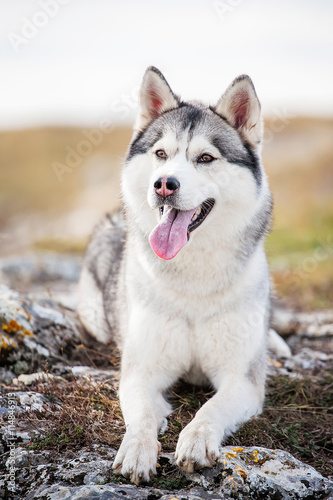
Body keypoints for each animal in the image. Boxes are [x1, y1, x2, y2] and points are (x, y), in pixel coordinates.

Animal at [77, 66, 288, 484]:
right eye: (161, 154)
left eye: (205, 157)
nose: (164, 184)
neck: (194, 280)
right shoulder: (139, 372)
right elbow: (142, 415)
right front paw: (137, 450)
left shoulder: (242, 380)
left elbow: (210, 410)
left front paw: (196, 440)